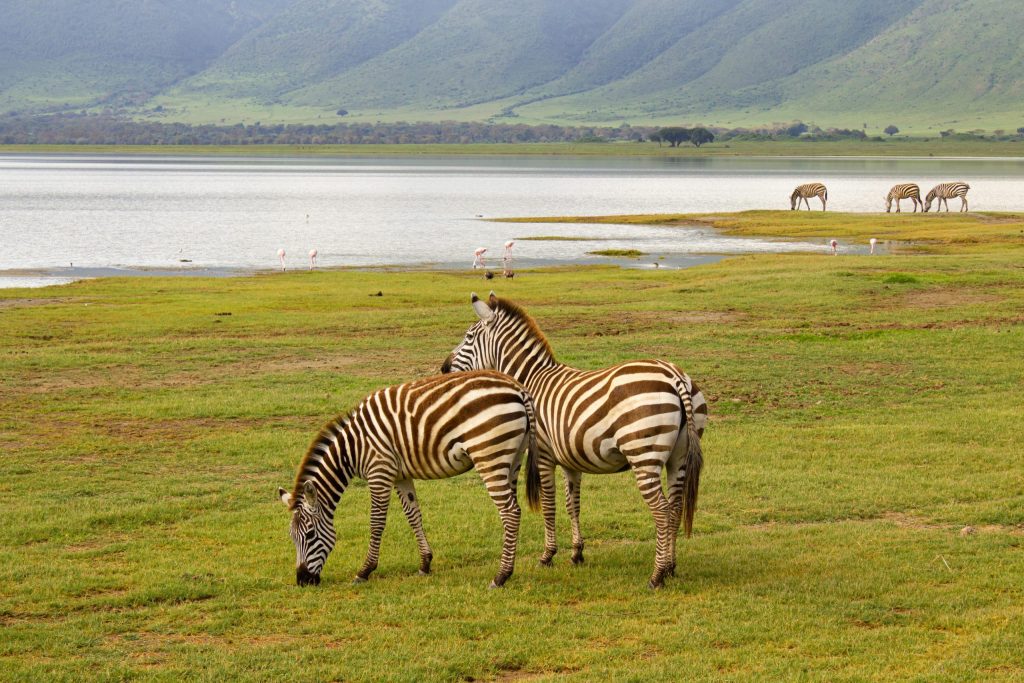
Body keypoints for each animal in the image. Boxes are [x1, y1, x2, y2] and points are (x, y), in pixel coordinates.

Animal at [276, 370, 540, 589]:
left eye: (310, 535)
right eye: (291, 537)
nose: (303, 581)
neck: (352, 448)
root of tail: (519, 389)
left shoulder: (379, 471)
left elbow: (376, 522)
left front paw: (364, 571)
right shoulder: (400, 476)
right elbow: (413, 516)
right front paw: (425, 563)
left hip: (489, 456)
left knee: (510, 512)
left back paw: (501, 576)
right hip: (513, 458)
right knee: (514, 510)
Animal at [444, 292, 708, 589]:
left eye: (468, 336)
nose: (443, 368)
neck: (531, 380)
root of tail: (675, 376)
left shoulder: (544, 455)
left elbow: (549, 506)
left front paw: (547, 556)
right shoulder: (571, 460)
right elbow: (574, 506)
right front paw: (577, 553)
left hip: (644, 455)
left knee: (662, 511)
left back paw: (657, 575)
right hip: (678, 456)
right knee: (675, 507)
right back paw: (671, 567)